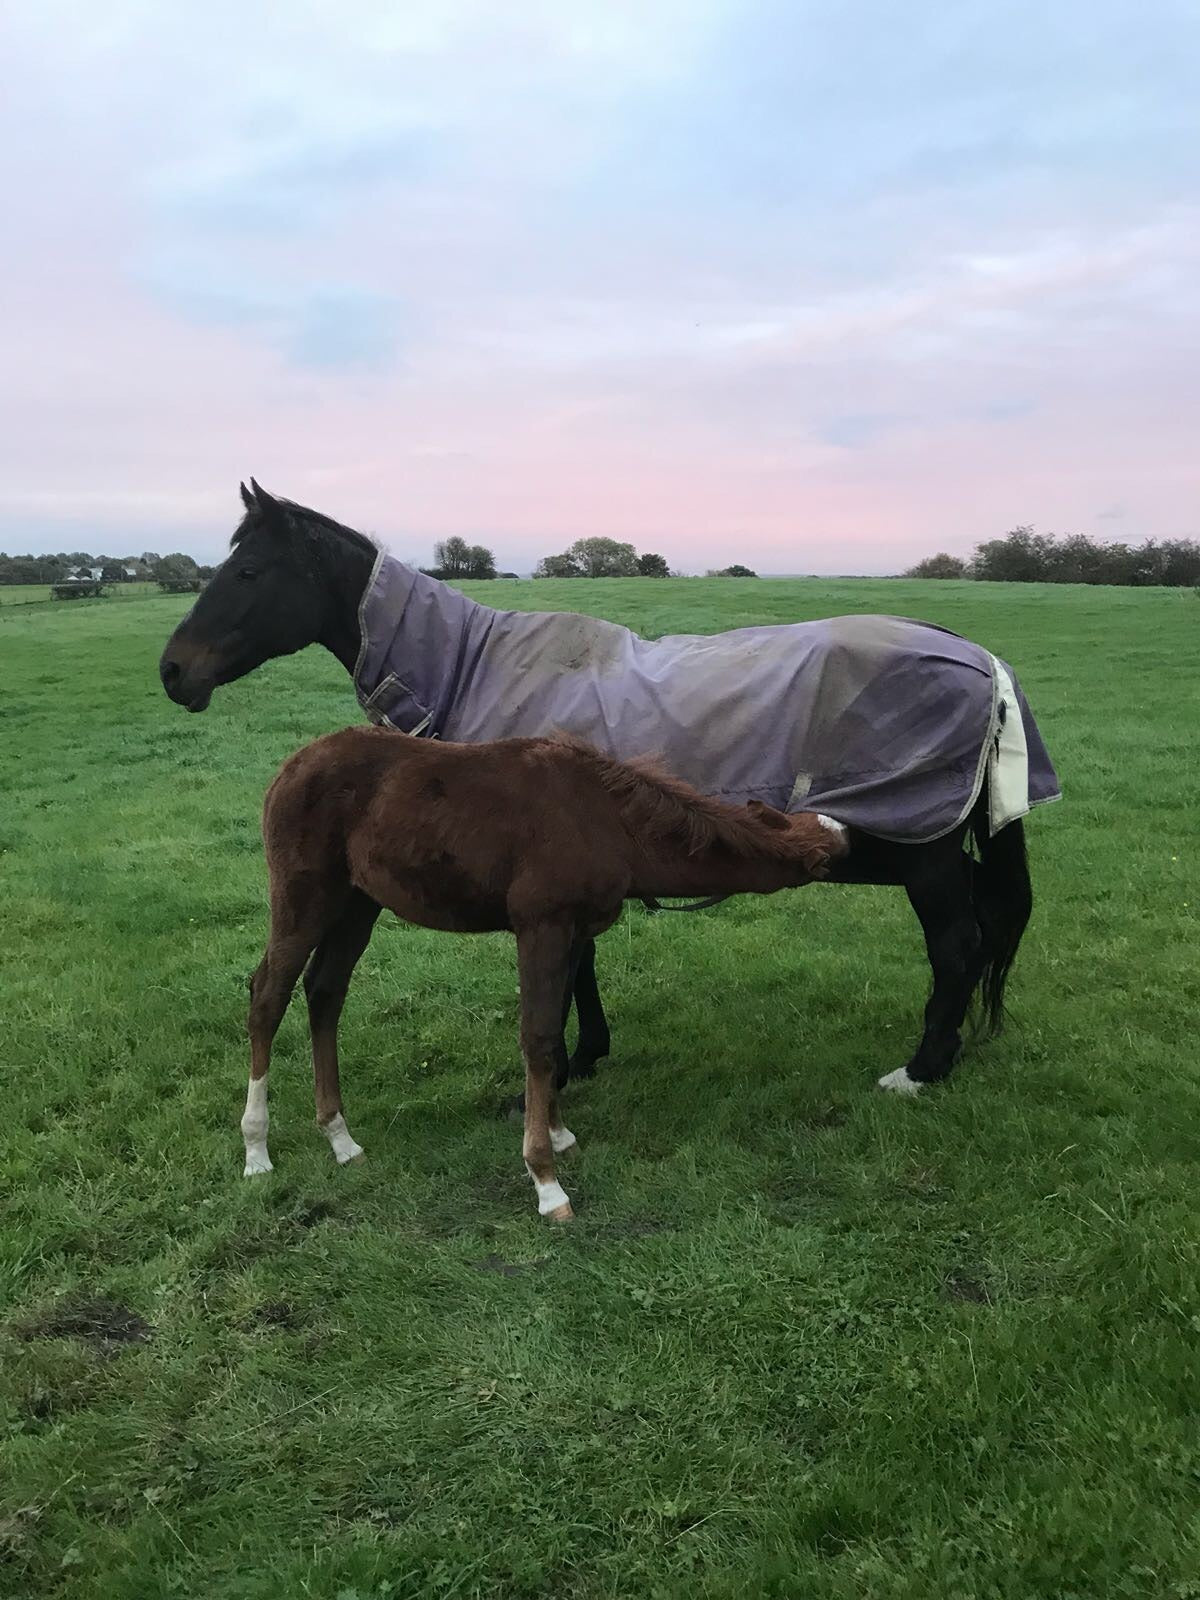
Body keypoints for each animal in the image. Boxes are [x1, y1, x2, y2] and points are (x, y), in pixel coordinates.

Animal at [160, 481, 1060, 1099]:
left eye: (249, 569)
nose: (173, 671)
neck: (473, 661)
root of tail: (981, 661)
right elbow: (582, 960)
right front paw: (589, 1053)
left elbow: (568, 968)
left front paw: (560, 1066)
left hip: (924, 855)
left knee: (958, 944)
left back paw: (921, 1070)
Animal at [243, 726, 847, 1219]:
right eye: (825, 859)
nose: (851, 842)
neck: (611, 820)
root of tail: (290, 767)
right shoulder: (542, 925)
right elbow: (536, 1039)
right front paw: (546, 1182)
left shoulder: (576, 931)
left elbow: (555, 1034)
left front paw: (558, 1135)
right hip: (305, 896)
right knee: (268, 995)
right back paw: (256, 1148)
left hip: (358, 902)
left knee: (325, 993)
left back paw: (341, 1139)